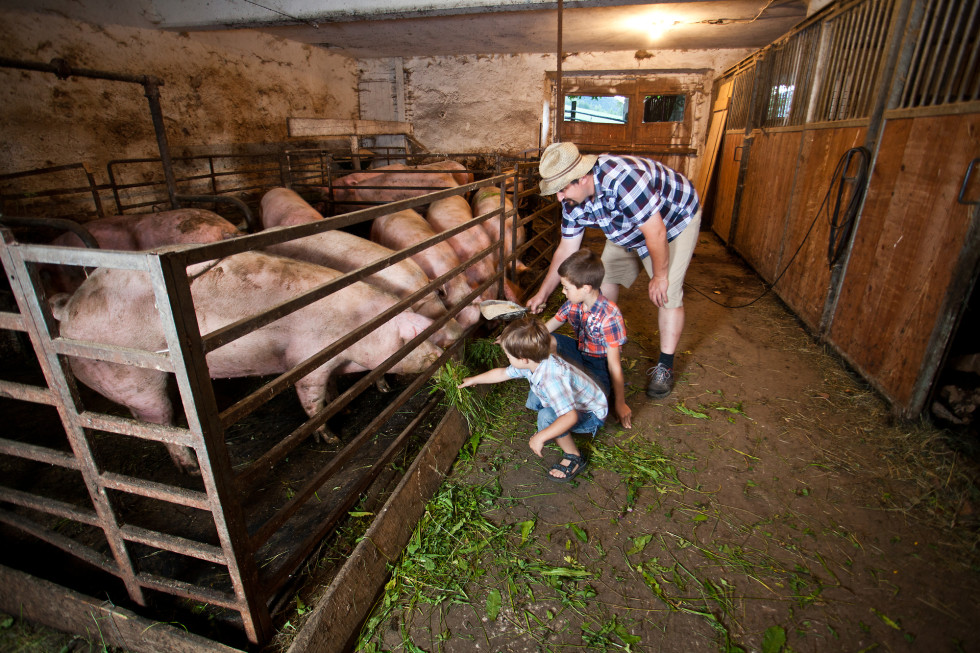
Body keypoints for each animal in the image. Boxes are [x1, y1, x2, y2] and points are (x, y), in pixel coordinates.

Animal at [48, 251, 440, 474]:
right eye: (416, 336)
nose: (441, 355)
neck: (359, 328)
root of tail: (67, 311)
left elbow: (330, 390)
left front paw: (341, 407)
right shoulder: (307, 358)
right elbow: (311, 399)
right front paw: (330, 437)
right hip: (138, 378)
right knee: (162, 424)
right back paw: (191, 470)